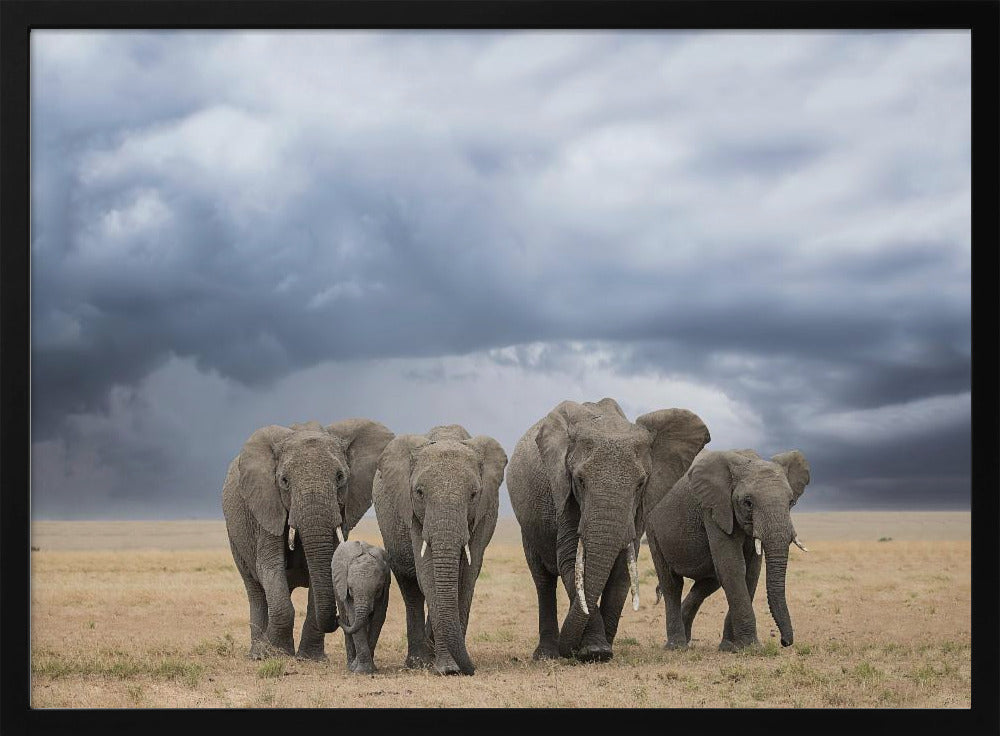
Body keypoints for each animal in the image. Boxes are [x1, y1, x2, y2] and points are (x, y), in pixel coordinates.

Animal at [222, 419, 394, 660]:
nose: (339, 619)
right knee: (255, 590)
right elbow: (270, 566)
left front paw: (310, 658)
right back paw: (257, 653)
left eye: (340, 477)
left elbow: (326, 568)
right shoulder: (266, 507)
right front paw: (277, 654)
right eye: (284, 481)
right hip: (235, 536)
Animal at [332, 540, 392, 674]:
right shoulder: (345, 590)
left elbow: (378, 618)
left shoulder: (385, 589)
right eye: (350, 589)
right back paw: (350, 665)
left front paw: (368, 669)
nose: (335, 618)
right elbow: (353, 617)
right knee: (346, 618)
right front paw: (360, 670)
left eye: (378, 589)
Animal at [372, 424, 507, 675]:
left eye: (474, 494)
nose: (471, 668)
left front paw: (452, 667)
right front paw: (448, 668)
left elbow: (467, 576)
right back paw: (418, 662)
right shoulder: (414, 514)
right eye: (419, 492)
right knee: (410, 587)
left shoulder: (484, 513)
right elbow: (428, 574)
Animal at [506, 398, 710, 662]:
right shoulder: (563, 493)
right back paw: (546, 655)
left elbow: (623, 566)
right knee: (543, 581)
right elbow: (572, 561)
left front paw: (602, 649)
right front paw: (595, 650)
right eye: (580, 480)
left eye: (640, 484)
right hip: (528, 526)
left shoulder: (638, 509)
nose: (568, 650)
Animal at [644, 448, 811, 652]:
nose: (784, 642)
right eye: (748, 503)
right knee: (672, 584)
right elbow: (733, 568)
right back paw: (677, 646)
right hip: (652, 528)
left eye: (791, 502)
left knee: (709, 583)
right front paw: (752, 647)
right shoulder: (714, 508)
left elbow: (751, 572)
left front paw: (730, 647)